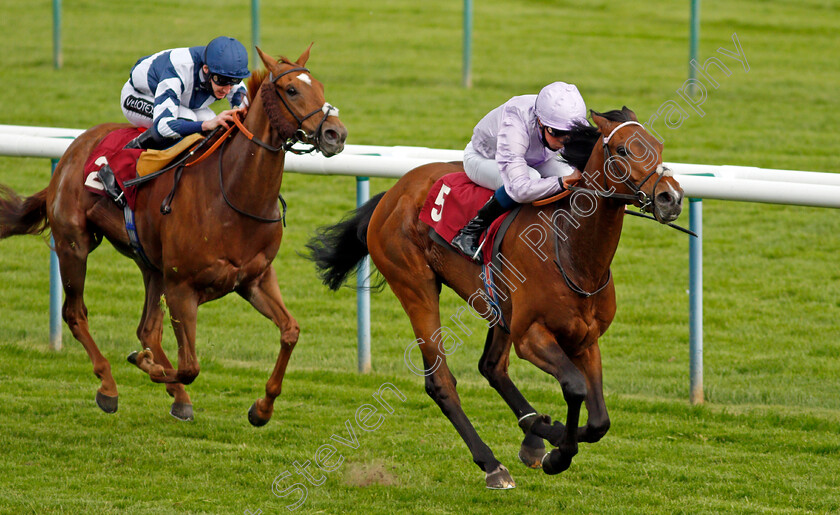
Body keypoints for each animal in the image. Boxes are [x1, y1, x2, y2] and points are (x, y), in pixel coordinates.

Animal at [0, 45, 346, 424]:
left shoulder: (255, 278)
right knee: (76, 314)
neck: (233, 195)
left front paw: (262, 407)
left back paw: (176, 395)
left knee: (147, 329)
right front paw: (145, 364)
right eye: (292, 90)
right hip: (74, 244)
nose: (336, 134)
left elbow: (290, 331)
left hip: (151, 266)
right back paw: (108, 385)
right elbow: (191, 365)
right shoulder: (182, 287)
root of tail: (71, 152)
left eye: (321, 87)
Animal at [306, 108, 684, 488]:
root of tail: (394, 192)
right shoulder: (531, 337)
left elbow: (599, 422)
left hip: (499, 307)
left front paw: (551, 435)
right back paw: (493, 463)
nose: (672, 197)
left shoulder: (585, 340)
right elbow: (575, 387)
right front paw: (558, 453)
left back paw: (534, 433)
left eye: (659, 146)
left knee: (491, 366)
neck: (573, 253)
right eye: (622, 150)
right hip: (415, 285)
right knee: (441, 382)